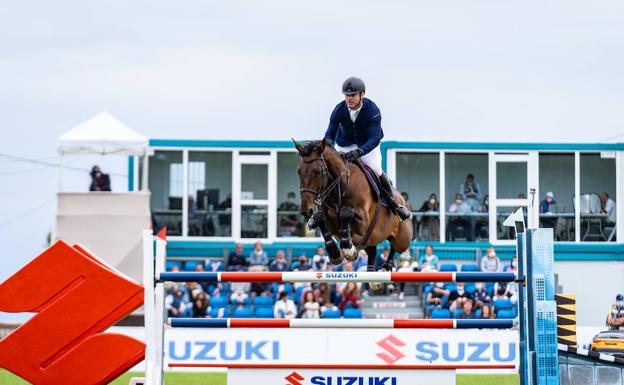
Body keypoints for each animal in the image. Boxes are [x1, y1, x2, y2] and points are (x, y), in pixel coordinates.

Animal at [294, 138, 414, 292]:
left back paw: (385, 267)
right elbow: (320, 218)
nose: (305, 210)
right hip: (369, 238)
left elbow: (346, 213)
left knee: (395, 246)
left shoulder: (363, 222)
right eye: (299, 171)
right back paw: (373, 277)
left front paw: (348, 249)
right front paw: (335, 252)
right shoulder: (329, 219)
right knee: (372, 249)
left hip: (402, 240)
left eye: (318, 171)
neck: (339, 188)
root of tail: (402, 199)